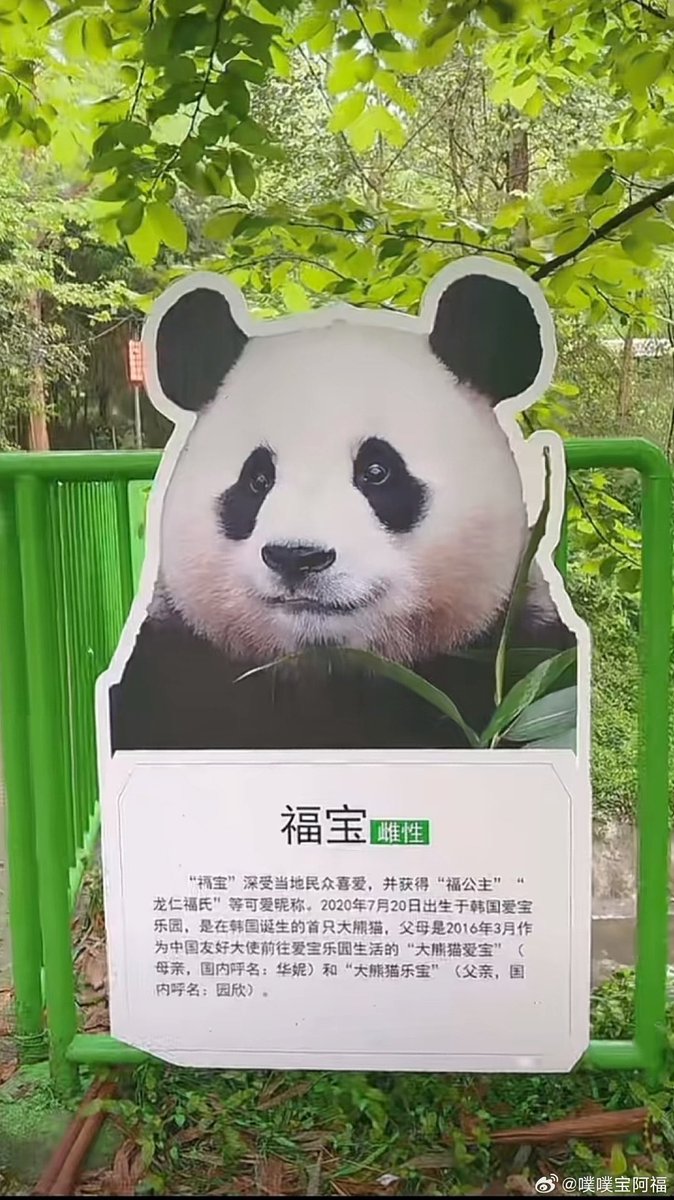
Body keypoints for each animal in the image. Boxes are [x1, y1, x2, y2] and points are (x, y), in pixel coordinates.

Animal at [109, 258, 576, 753]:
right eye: (257, 480)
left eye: (377, 471)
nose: (297, 557)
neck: (328, 669)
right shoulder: (174, 670)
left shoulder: (516, 658)